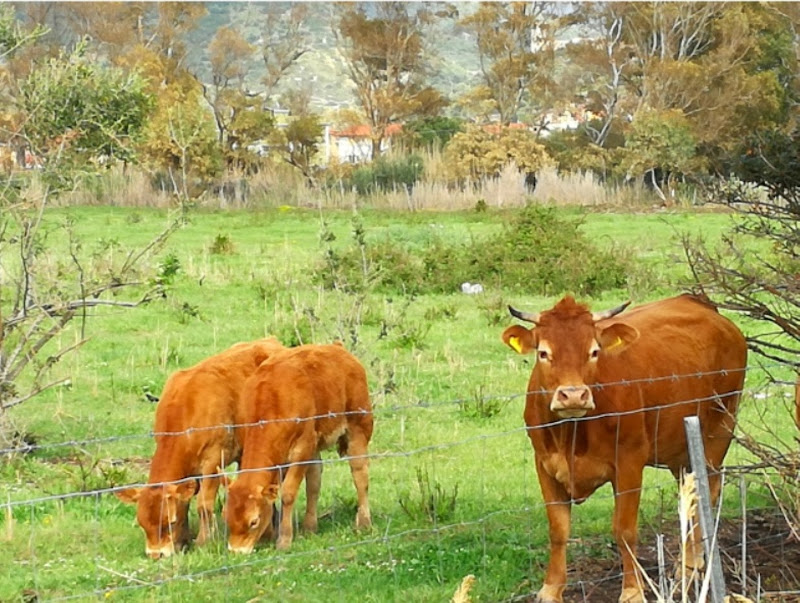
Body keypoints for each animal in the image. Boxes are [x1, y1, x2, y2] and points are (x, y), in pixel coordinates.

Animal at [113, 338, 284, 560]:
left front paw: (203, 541)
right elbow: (185, 502)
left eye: (170, 522)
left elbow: (204, 503)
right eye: (142, 524)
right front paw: (183, 540)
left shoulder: (212, 461)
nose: (156, 554)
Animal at [223, 342, 374, 556]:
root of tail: (337, 347)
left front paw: (284, 539)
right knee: (315, 480)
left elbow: (287, 493)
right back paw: (309, 526)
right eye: (226, 517)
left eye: (253, 521)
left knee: (360, 473)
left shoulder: (302, 448)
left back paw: (364, 522)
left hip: (359, 427)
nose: (237, 551)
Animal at [504, 294, 748, 603]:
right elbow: (558, 530)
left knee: (706, 494)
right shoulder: (544, 464)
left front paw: (632, 591)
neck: (573, 435)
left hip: (719, 431)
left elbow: (625, 530)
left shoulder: (629, 463)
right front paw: (550, 589)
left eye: (594, 351)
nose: (573, 395)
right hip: (681, 450)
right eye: (543, 353)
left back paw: (688, 568)